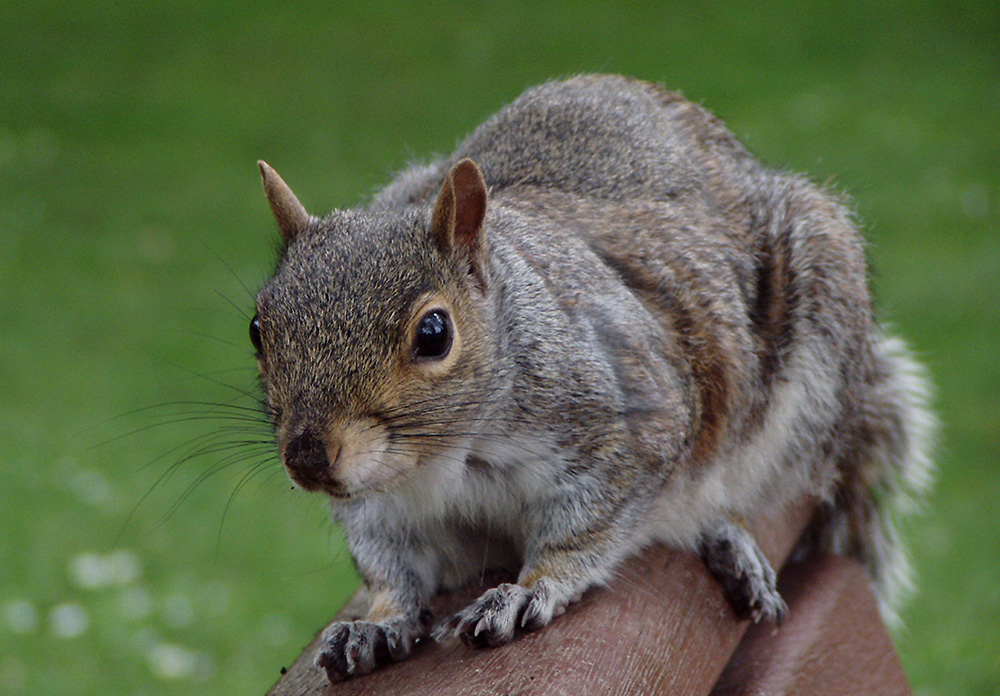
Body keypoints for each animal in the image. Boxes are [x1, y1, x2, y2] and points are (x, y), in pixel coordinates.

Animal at [250, 75, 936, 680]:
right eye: (258, 328)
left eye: (434, 333)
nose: (308, 457)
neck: (441, 461)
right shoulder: (381, 511)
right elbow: (392, 569)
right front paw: (378, 620)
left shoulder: (635, 419)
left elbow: (586, 528)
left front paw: (530, 589)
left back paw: (726, 536)